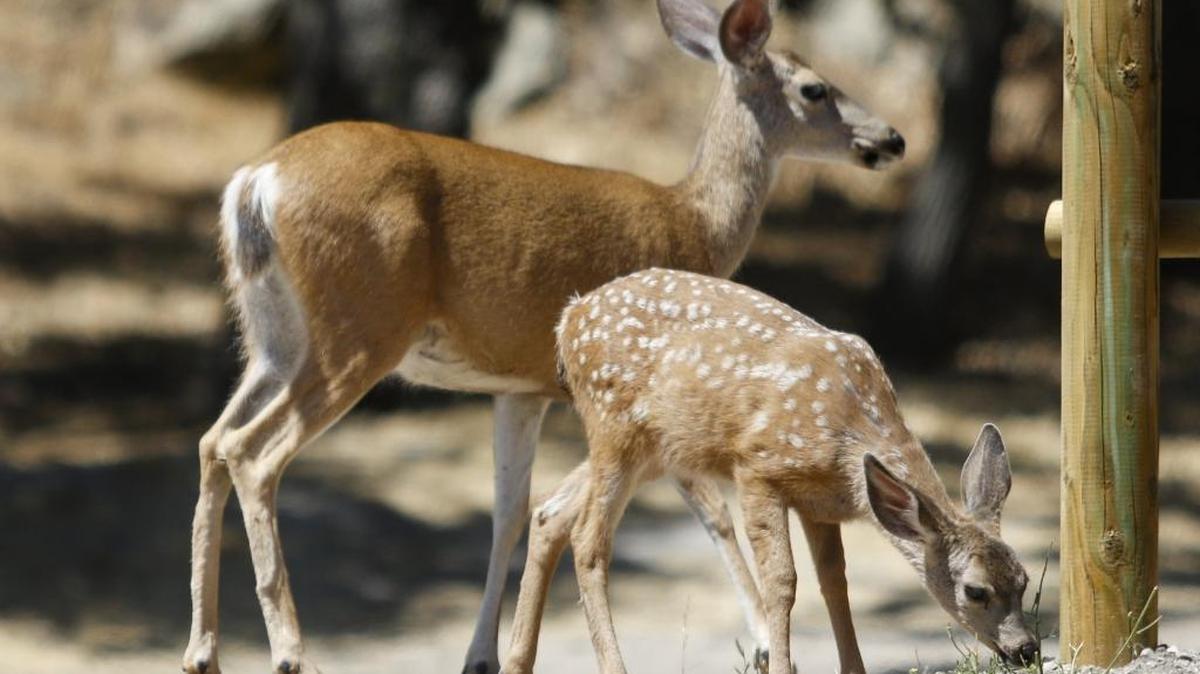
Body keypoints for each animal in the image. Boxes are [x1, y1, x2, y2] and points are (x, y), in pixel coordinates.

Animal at [181, 0, 905, 672]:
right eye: (815, 88)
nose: (893, 138)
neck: (693, 223)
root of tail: (255, 183)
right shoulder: (656, 380)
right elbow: (710, 509)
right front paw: (758, 640)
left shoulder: (520, 388)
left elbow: (510, 514)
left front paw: (481, 655)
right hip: (359, 325)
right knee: (253, 453)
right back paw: (289, 651)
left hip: (274, 337)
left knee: (214, 440)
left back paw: (203, 650)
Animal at [501, 268, 1039, 674]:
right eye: (975, 590)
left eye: (1024, 579)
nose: (1026, 649)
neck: (847, 439)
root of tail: (568, 318)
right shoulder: (757, 468)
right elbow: (783, 581)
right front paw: (782, 666)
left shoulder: (820, 504)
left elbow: (834, 582)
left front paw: (854, 669)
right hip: (614, 427)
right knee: (588, 539)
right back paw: (613, 666)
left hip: (652, 450)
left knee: (549, 512)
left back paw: (516, 663)